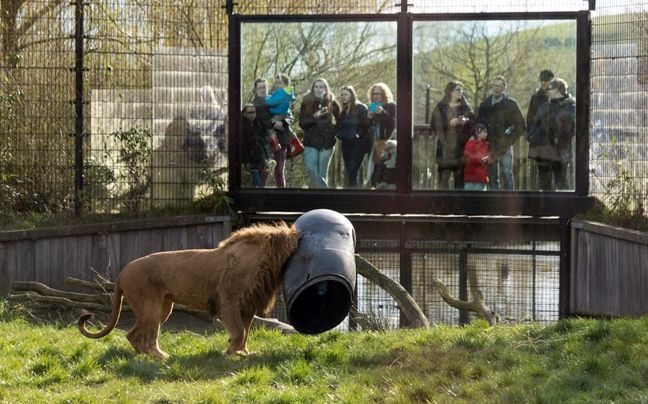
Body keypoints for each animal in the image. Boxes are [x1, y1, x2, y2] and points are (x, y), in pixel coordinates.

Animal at [77, 223, 300, 358]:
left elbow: (244, 332)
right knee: (147, 336)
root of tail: (122, 273)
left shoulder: (247, 306)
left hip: (162, 308)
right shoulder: (228, 301)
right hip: (151, 307)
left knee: (132, 334)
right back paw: (160, 357)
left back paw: (145, 356)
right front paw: (230, 351)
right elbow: (238, 331)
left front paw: (242, 353)